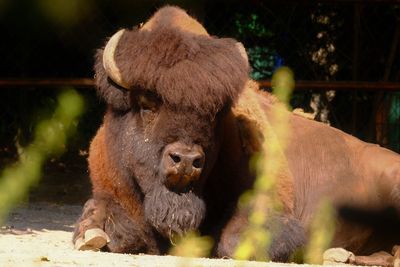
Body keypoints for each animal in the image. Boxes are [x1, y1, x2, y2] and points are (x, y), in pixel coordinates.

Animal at [73, 5, 400, 264]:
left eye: (215, 114)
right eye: (146, 103)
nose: (186, 160)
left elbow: (237, 239)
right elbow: (103, 218)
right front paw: (92, 234)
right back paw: (343, 255)